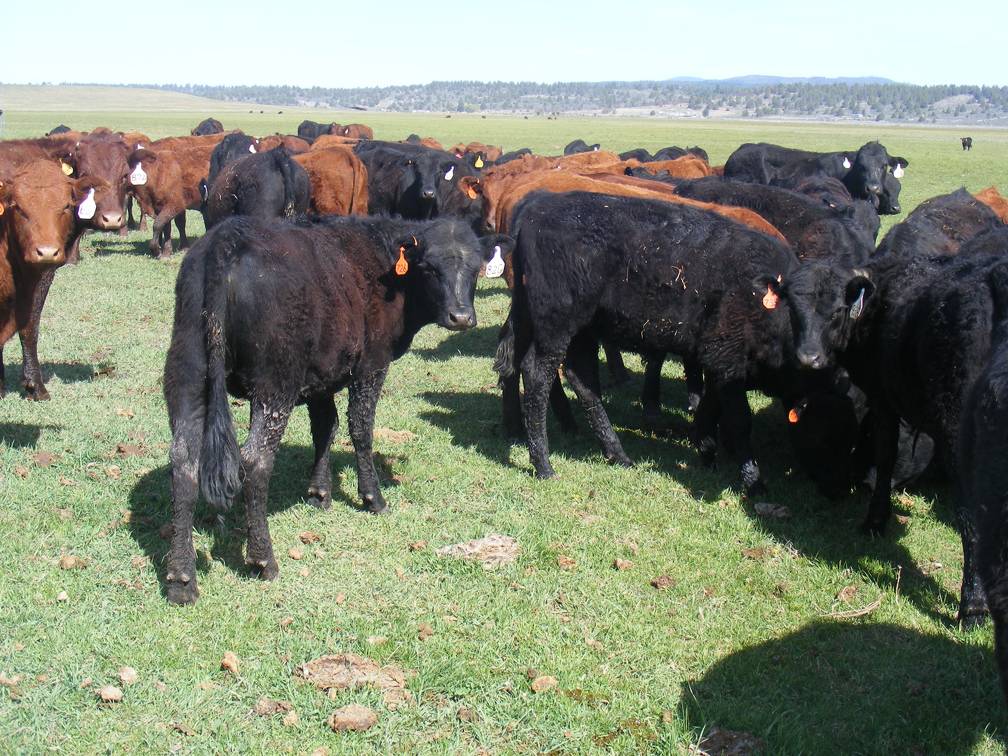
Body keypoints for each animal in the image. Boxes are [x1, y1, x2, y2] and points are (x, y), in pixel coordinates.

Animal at [166, 215, 516, 608]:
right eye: (428, 267)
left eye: (475, 267)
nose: (461, 317)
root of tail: (226, 239)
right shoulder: (371, 364)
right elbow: (360, 428)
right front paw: (372, 497)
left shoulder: (323, 375)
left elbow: (326, 428)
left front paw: (319, 493)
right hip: (275, 382)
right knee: (255, 460)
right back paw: (263, 559)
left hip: (187, 373)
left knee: (184, 462)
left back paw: (181, 578)